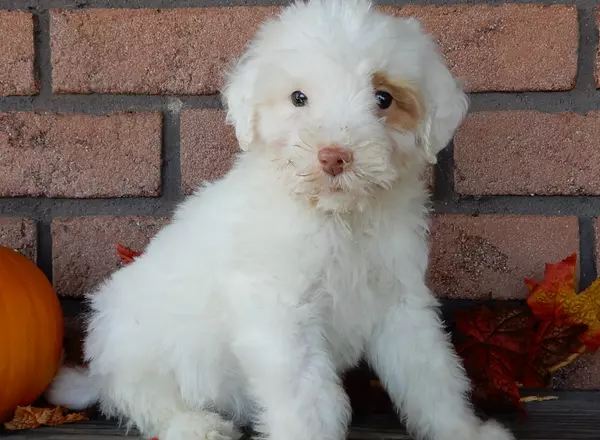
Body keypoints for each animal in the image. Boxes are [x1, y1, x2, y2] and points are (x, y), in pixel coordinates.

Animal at [48, 0, 516, 440]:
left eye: (383, 98)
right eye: (298, 98)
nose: (333, 156)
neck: (335, 216)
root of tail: (99, 372)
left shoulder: (400, 300)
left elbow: (431, 374)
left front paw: (462, 431)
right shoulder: (282, 312)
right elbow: (306, 394)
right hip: (135, 342)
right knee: (143, 400)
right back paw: (196, 426)